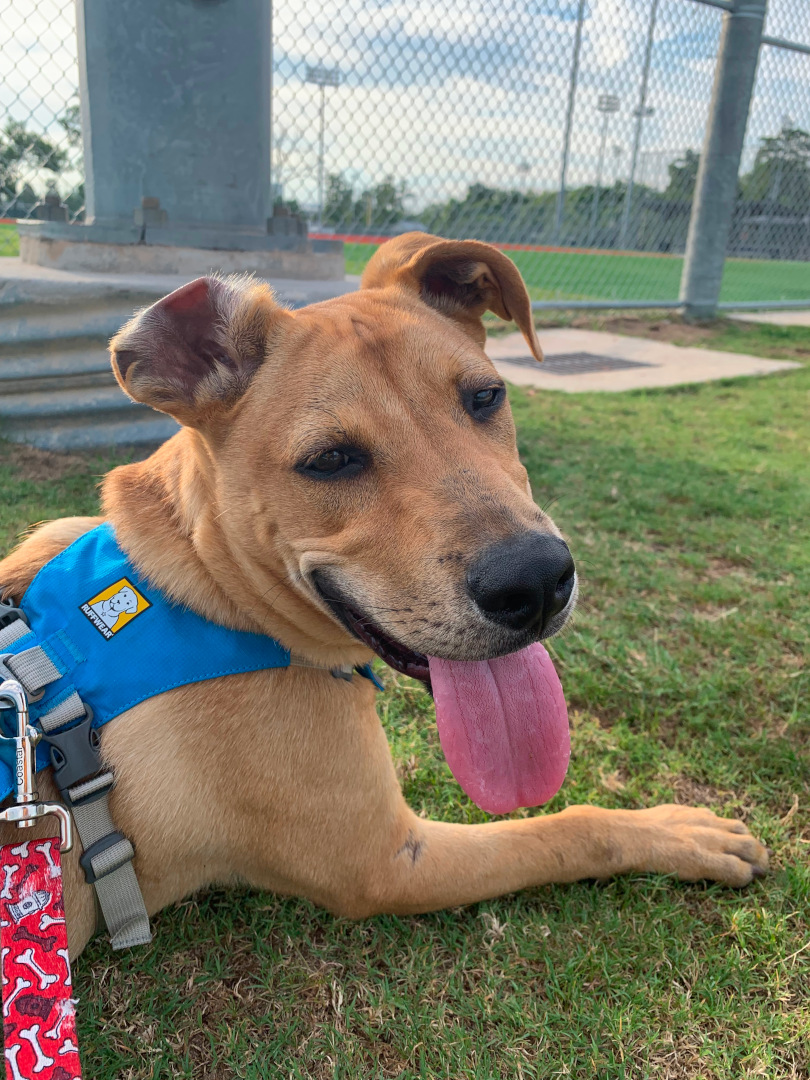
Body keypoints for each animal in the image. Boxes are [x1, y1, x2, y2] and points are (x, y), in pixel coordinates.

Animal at [0, 230, 768, 954]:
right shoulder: (385, 864)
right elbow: (565, 828)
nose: (536, 582)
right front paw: (679, 832)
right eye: (330, 460)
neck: (202, 589)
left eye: (486, 397)